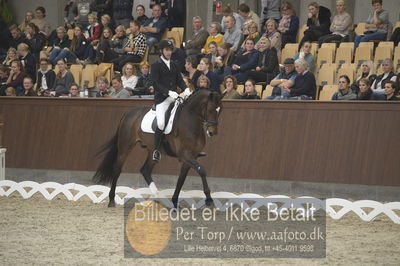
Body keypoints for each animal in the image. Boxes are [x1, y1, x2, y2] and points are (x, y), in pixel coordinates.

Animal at [93, 90, 222, 209]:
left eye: (220, 111)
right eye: (210, 110)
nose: (212, 132)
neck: (190, 122)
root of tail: (129, 112)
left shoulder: (192, 156)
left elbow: (181, 179)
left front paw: (175, 202)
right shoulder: (185, 155)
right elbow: (202, 171)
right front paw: (209, 200)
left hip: (152, 150)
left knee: (145, 170)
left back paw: (158, 197)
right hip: (125, 146)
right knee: (117, 169)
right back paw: (111, 201)